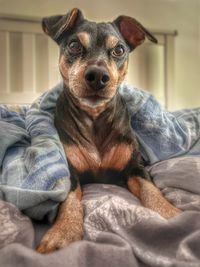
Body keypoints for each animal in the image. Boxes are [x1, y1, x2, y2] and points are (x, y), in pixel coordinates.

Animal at [36, 8, 181, 254]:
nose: (97, 76)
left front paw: (172, 215)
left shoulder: (135, 167)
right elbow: (69, 199)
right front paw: (63, 232)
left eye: (119, 50)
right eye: (74, 45)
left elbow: (151, 190)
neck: (95, 119)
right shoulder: (70, 172)